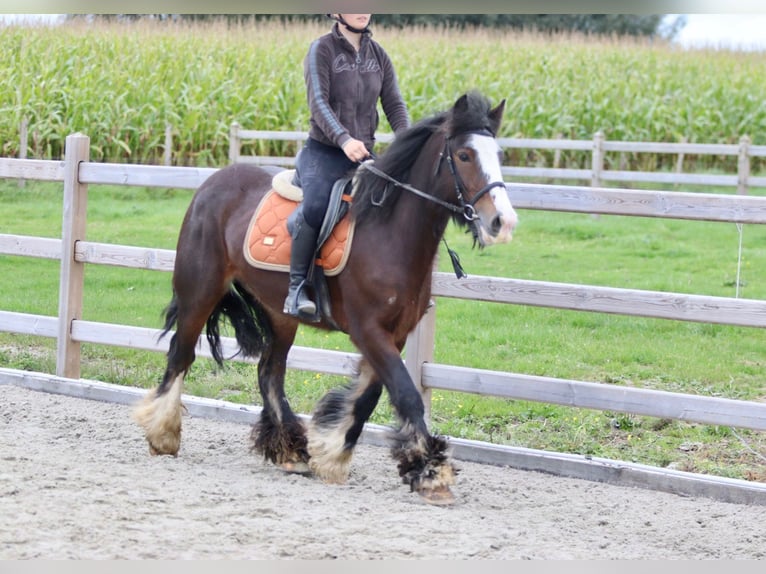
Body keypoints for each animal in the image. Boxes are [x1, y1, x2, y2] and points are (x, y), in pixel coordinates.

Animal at [135, 92, 520, 506]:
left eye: (498, 153)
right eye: (464, 155)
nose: (502, 222)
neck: (387, 233)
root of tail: (212, 183)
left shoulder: (394, 334)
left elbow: (368, 397)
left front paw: (333, 454)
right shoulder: (368, 330)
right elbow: (406, 394)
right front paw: (431, 473)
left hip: (279, 313)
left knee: (269, 372)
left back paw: (291, 451)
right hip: (200, 291)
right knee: (181, 355)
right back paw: (162, 435)